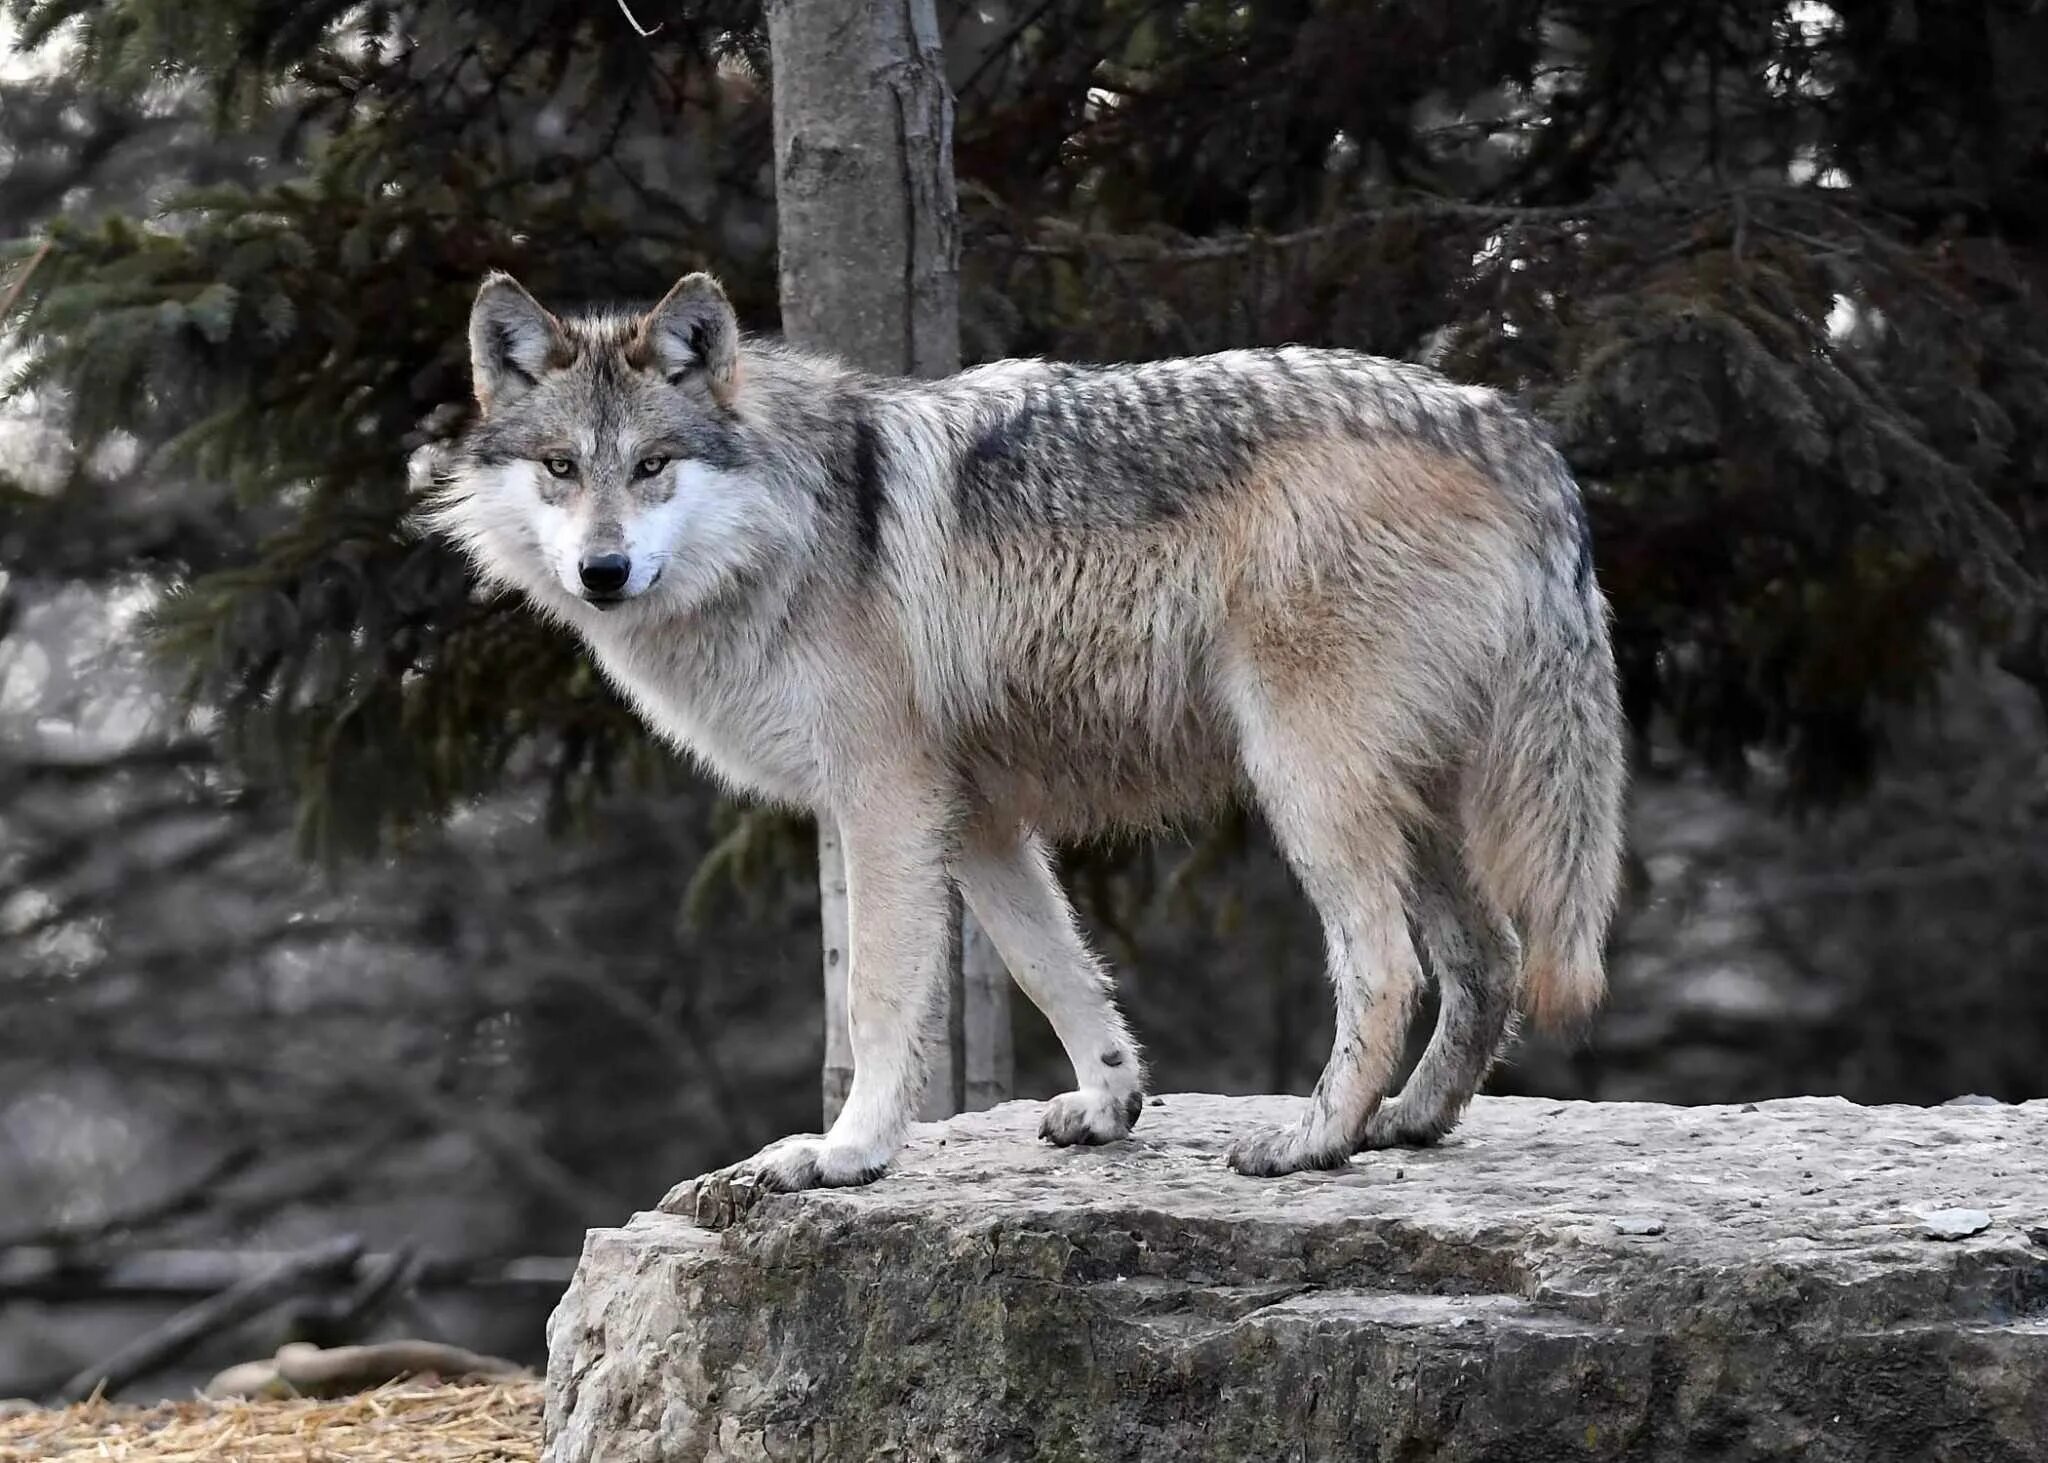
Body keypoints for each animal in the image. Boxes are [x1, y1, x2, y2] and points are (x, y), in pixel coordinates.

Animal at [423, 268, 1622, 1188]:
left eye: (652, 465)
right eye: (561, 467)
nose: (603, 569)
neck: (796, 526)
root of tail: (1507, 427)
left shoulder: (886, 804)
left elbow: (876, 997)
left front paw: (847, 1151)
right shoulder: (982, 819)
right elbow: (1058, 974)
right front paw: (1109, 1104)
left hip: (1307, 787)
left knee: (1387, 967)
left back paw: (1312, 1138)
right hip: (1414, 803)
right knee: (1489, 957)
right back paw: (1407, 1123)